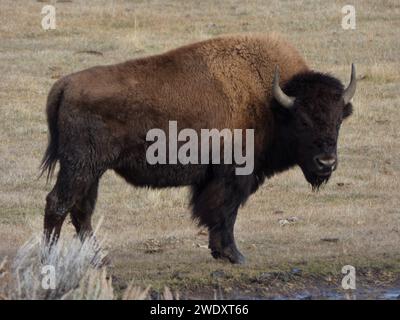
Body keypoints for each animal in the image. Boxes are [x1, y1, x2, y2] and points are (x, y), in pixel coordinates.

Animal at [41, 34, 356, 264]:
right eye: (303, 121)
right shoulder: (234, 175)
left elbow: (217, 213)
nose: (326, 163)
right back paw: (50, 259)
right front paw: (234, 256)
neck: (272, 102)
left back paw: (98, 257)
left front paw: (220, 252)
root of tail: (65, 84)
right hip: (80, 167)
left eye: (338, 120)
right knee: (58, 203)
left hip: (92, 171)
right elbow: (225, 213)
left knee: (81, 210)